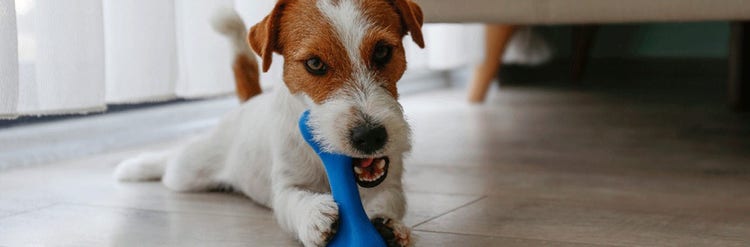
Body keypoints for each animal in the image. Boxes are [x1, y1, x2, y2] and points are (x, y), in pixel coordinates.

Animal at [115, 0, 426, 246]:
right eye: (314, 64)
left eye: (382, 51)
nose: (370, 136)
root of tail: (248, 102)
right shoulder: (285, 185)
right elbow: (292, 201)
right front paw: (314, 215)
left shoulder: (390, 184)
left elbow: (388, 199)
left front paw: (385, 224)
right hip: (189, 171)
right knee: (171, 162)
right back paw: (135, 167)